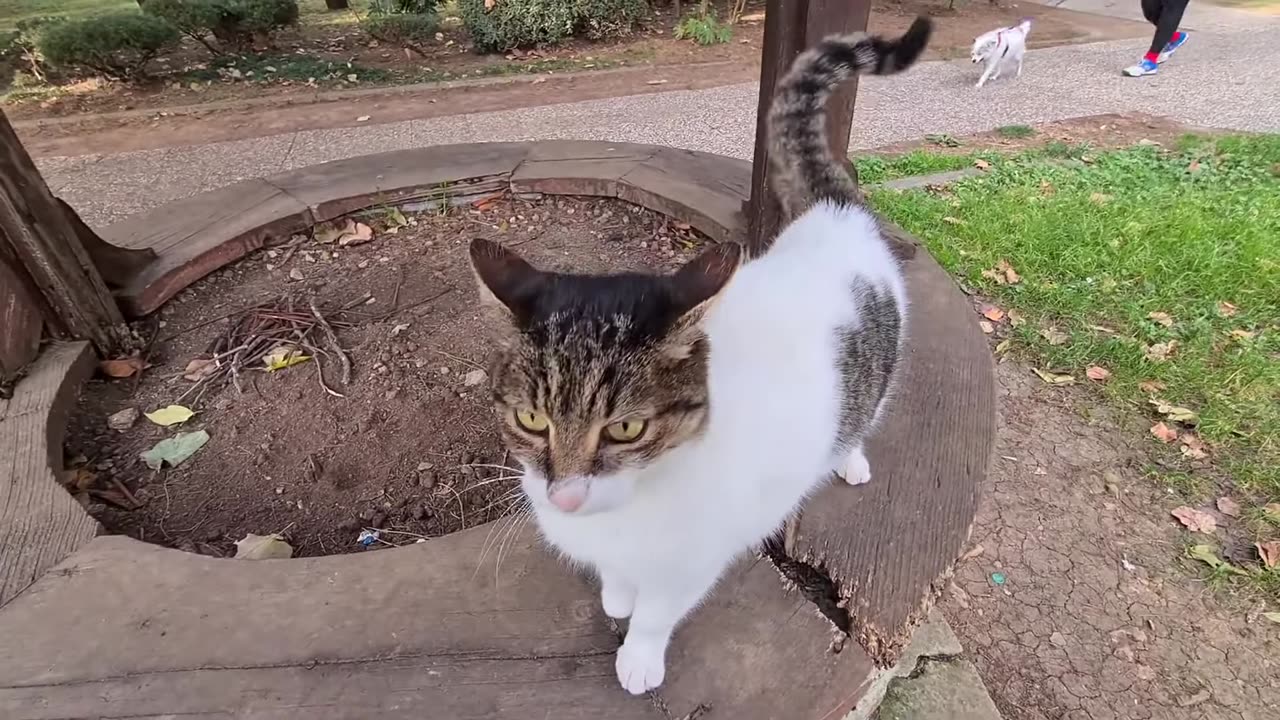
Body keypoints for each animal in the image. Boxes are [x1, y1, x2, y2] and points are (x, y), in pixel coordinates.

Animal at [468, 15, 931, 691]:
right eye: (532, 418)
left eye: (626, 428)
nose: (566, 497)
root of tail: (836, 212)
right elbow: (618, 578)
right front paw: (616, 596)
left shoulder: (691, 560)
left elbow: (658, 611)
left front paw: (639, 656)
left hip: (876, 369)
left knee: (862, 415)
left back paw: (848, 459)